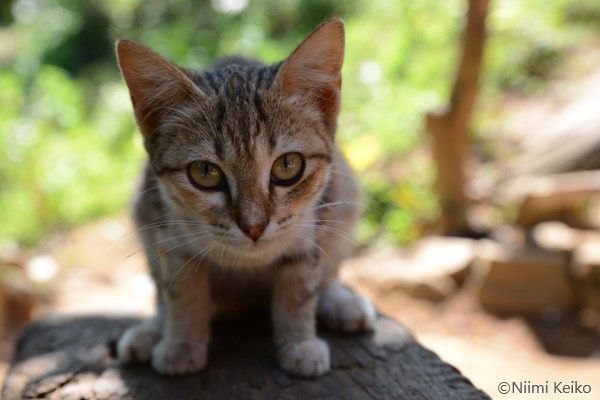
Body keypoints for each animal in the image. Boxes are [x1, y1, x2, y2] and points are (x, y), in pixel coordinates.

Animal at [114, 18, 372, 376]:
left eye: (288, 165)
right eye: (205, 173)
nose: (254, 227)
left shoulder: (309, 226)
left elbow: (300, 285)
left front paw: (298, 341)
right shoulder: (169, 235)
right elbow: (181, 291)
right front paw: (182, 343)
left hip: (346, 197)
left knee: (329, 270)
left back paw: (340, 301)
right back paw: (151, 330)